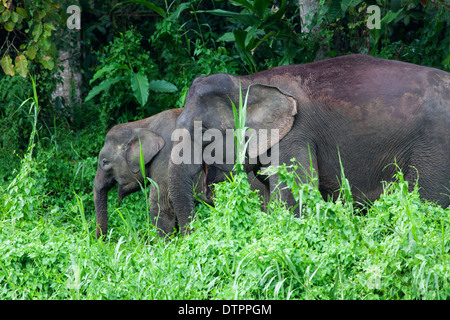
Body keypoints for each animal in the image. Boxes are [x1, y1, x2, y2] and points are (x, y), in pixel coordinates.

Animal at [170, 54, 450, 232]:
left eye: (204, 133)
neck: (248, 81)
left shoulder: (295, 135)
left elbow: (293, 198)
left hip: (434, 147)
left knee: (428, 202)